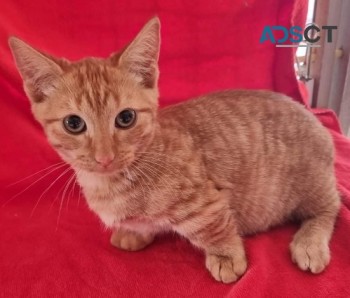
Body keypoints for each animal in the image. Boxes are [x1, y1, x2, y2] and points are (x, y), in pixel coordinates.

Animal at [10, 17, 340, 282]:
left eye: (126, 118)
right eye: (74, 124)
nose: (105, 157)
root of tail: (314, 117)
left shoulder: (207, 200)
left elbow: (214, 225)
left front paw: (226, 256)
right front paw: (135, 233)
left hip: (312, 182)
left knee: (330, 208)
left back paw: (309, 244)